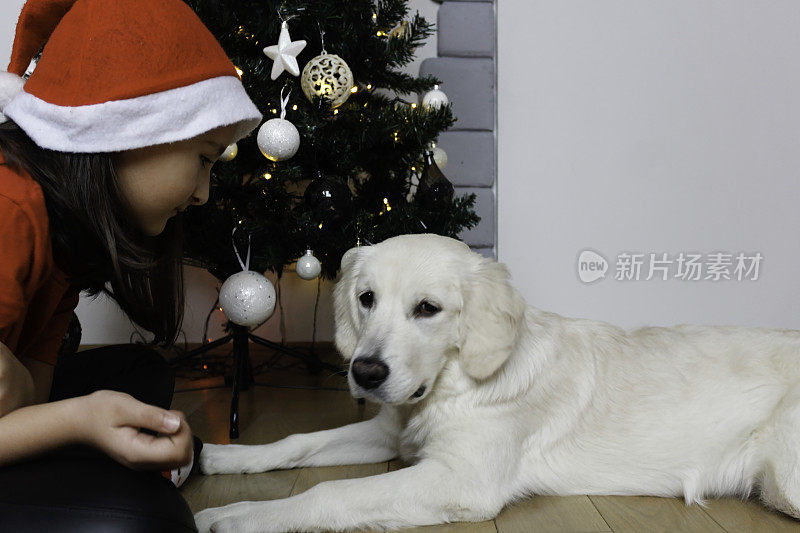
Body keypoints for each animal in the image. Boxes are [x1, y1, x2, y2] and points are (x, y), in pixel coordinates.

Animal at [194, 234, 800, 532]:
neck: (452, 387)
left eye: (428, 308)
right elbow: (297, 443)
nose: (364, 372)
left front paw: (236, 515)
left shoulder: (462, 480)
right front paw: (223, 458)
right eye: (366, 298)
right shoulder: (390, 433)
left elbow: (330, 493)